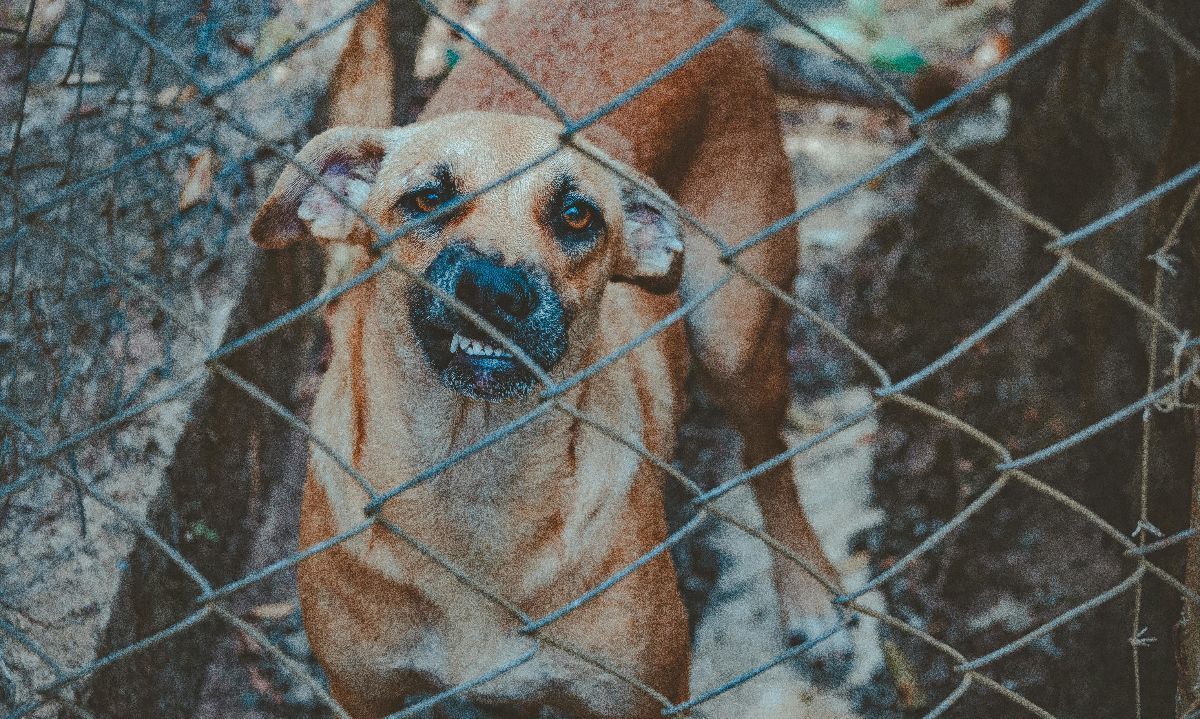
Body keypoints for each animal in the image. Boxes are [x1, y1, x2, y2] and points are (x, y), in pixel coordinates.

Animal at [250, 1, 854, 719]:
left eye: (576, 215)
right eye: (426, 198)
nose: (495, 290)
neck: (473, 477)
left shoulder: (641, 691)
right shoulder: (366, 689)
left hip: (734, 332)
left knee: (770, 458)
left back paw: (810, 594)